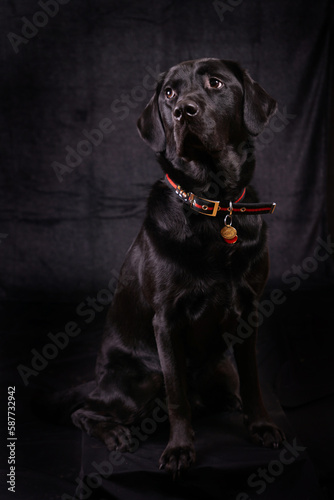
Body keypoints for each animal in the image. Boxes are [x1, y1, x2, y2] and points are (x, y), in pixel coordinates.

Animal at [72, 57, 284, 476]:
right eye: (169, 92)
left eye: (215, 83)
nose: (182, 111)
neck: (214, 204)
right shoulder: (166, 321)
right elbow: (176, 396)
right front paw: (180, 449)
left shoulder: (249, 310)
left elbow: (252, 379)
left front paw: (261, 426)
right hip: (139, 380)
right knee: (83, 412)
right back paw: (115, 434)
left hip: (220, 368)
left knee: (228, 386)